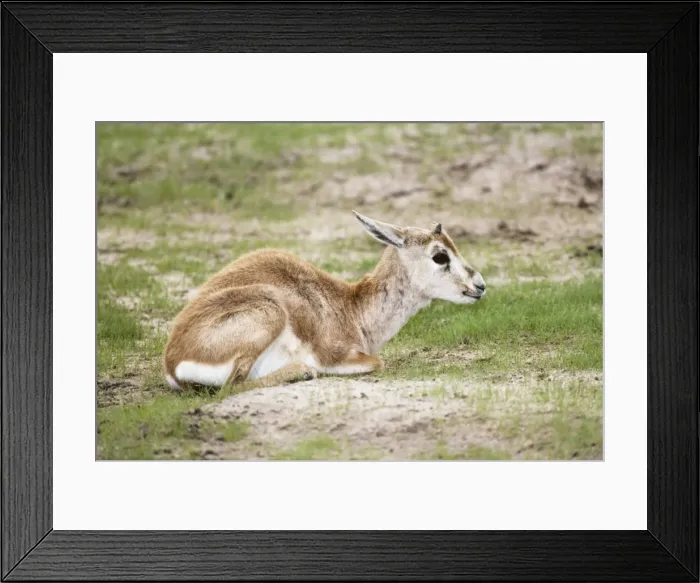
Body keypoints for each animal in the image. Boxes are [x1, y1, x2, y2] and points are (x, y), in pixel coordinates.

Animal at [163, 212, 486, 390]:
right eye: (440, 256)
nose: (479, 286)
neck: (352, 308)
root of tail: (172, 361)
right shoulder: (337, 356)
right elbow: (377, 362)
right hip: (269, 310)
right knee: (232, 387)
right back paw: (302, 372)